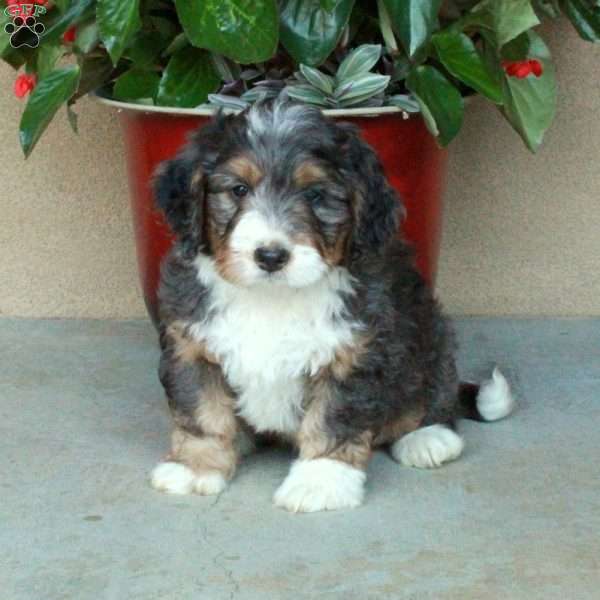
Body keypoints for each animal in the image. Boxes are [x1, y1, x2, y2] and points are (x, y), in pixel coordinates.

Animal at [150, 98, 516, 510]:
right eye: (238, 189)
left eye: (314, 195)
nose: (270, 256)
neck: (272, 298)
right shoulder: (192, 346)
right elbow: (201, 412)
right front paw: (194, 467)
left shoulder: (353, 352)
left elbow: (333, 417)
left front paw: (321, 480)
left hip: (430, 333)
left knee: (434, 393)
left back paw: (427, 438)